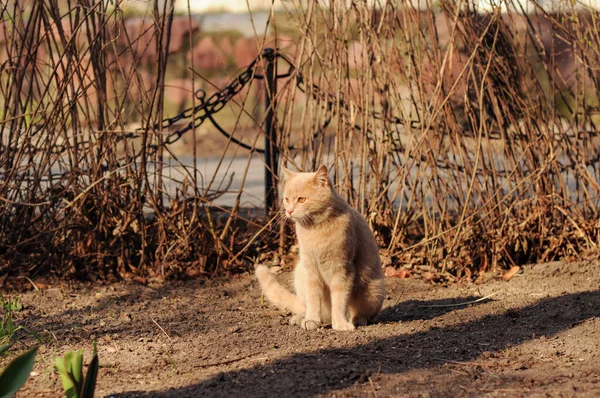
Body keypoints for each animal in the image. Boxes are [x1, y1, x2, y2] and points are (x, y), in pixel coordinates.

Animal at [253, 165, 384, 330]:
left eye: (301, 199)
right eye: (287, 199)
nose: (289, 211)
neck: (315, 229)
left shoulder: (342, 269)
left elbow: (340, 300)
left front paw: (340, 323)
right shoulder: (310, 270)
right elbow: (313, 299)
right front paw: (312, 320)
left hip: (373, 290)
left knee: (362, 313)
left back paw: (357, 319)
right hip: (300, 273)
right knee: (311, 309)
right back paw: (302, 318)